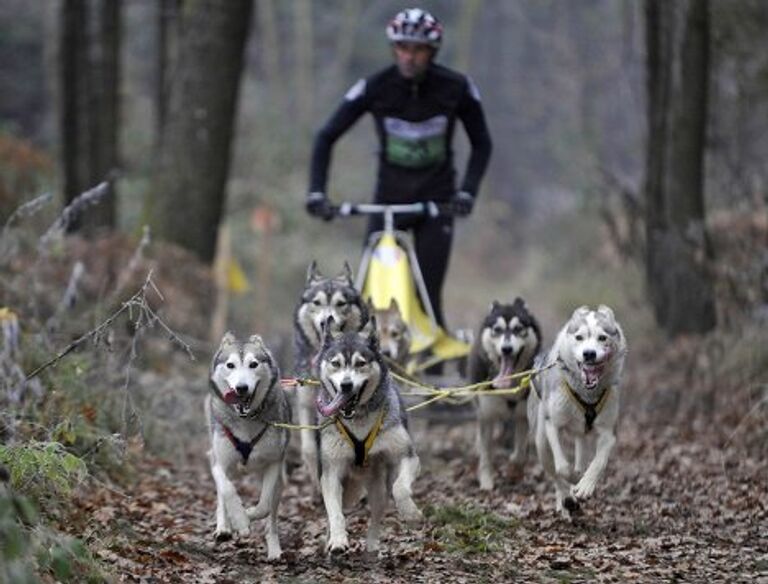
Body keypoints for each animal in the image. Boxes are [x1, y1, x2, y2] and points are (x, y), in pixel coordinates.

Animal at [207, 330, 292, 560]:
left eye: (253, 364)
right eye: (230, 365)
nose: (241, 388)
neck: (246, 421)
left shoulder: (273, 463)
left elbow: (264, 506)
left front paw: (248, 515)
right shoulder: (217, 461)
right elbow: (227, 490)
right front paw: (239, 520)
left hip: (280, 480)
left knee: (271, 516)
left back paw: (274, 550)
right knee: (222, 493)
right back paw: (224, 528)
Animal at [292, 262, 368, 486]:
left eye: (341, 303)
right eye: (317, 302)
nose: (326, 320)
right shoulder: (306, 403)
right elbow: (309, 448)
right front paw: (316, 480)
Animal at [314, 318, 424, 556]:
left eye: (360, 363)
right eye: (335, 363)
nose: (346, 385)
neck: (358, 421)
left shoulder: (407, 456)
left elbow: (400, 488)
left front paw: (411, 514)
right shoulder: (331, 473)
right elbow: (335, 513)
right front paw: (338, 540)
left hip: (378, 487)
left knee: (377, 512)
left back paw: (373, 546)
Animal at [468, 298, 540, 490]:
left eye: (518, 328)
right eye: (497, 330)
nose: (506, 348)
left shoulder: (522, 417)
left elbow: (520, 454)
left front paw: (514, 471)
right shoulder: (486, 415)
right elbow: (486, 453)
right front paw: (486, 481)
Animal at [528, 306, 632, 516]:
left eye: (602, 337)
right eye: (579, 337)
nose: (589, 354)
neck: (587, 395)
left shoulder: (609, 431)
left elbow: (598, 462)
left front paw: (585, 486)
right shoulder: (553, 424)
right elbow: (561, 468)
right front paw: (572, 483)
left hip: (581, 436)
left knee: (581, 458)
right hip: (541, 441)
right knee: (554, 472)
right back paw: (565, 499)